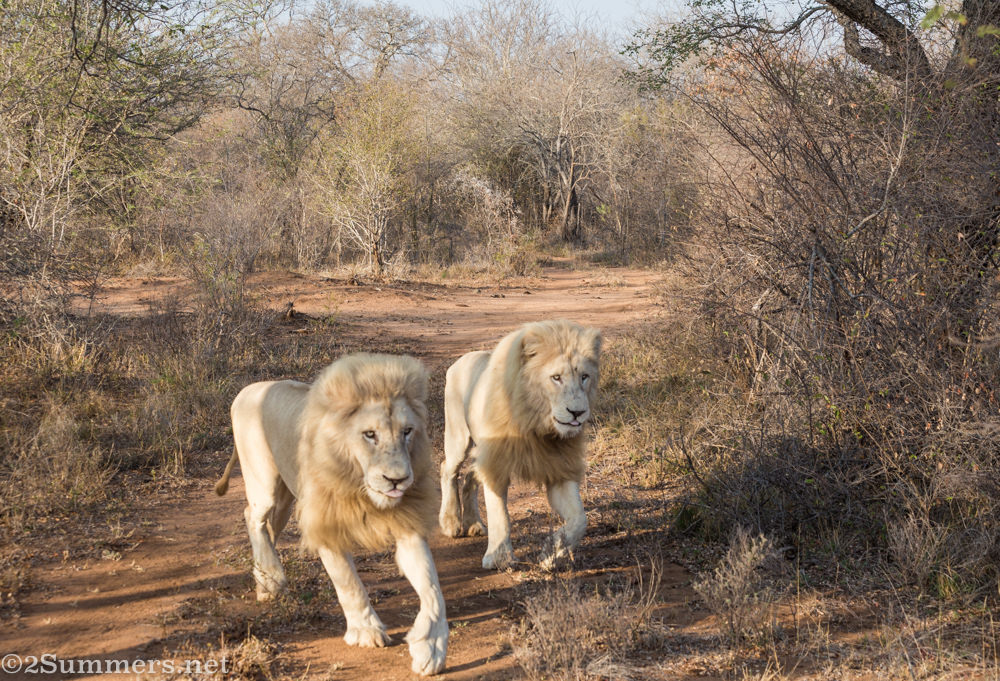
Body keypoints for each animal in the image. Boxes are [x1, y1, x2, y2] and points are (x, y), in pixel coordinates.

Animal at [214, 353, 448, 676]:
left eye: (407, 432)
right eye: (370, 435)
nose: (397, 480)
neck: (359, 484)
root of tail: (247, 390)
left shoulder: (407, 526)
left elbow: (433, 589)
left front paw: (431, 647)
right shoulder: (324, 524)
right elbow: (349, 582)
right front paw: (366, 630)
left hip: (285, 499)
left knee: (268, 528)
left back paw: (264, 583)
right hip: (264, 483)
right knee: (253, 516)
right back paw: (272, 576)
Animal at [438, 319, 601, 570]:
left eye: (584, 376)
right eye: (556, 378)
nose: (577, 412)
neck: (537, 425)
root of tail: (461, 359)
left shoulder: (559, 469)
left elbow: (578, 521)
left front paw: (550, 555)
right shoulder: (496, 462)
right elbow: (500, 515)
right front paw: (499, 558)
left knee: (469, 477)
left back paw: (473, 524)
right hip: (458, 437)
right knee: (447, 468)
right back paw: (450, 522)